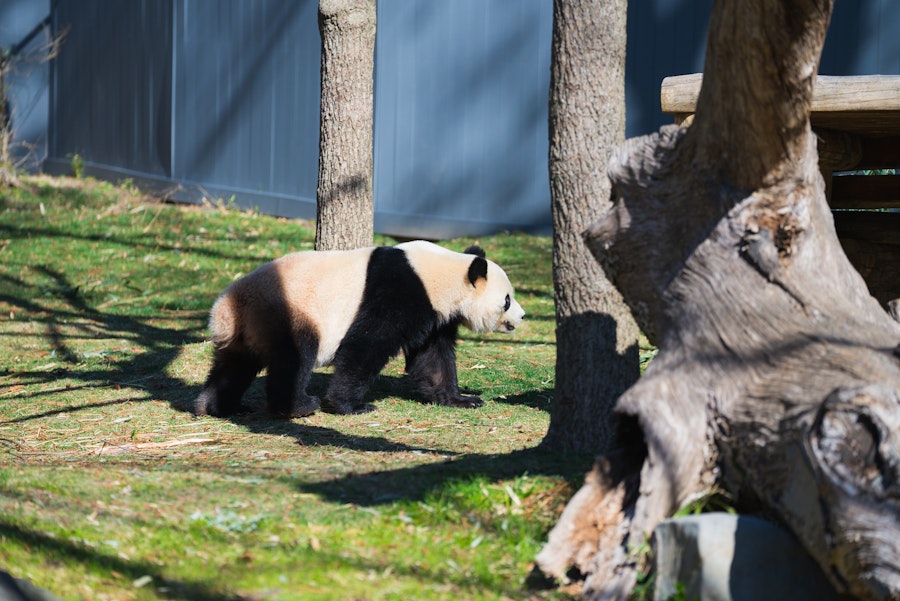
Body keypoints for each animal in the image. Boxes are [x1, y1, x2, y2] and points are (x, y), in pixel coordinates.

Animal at [194, 240, 525, 417]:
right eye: (507, 299)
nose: (522, 316)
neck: (442, 275)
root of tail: (225, 312)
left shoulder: (434, 314)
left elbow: (432, 358)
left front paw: (462, 399)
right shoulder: (400, 292)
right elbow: (366, 345)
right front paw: (349, 405)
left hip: (247, 330)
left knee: (234, 366)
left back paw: (218, 406)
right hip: (287, 312)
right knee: (294, 359)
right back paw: (298, 406)